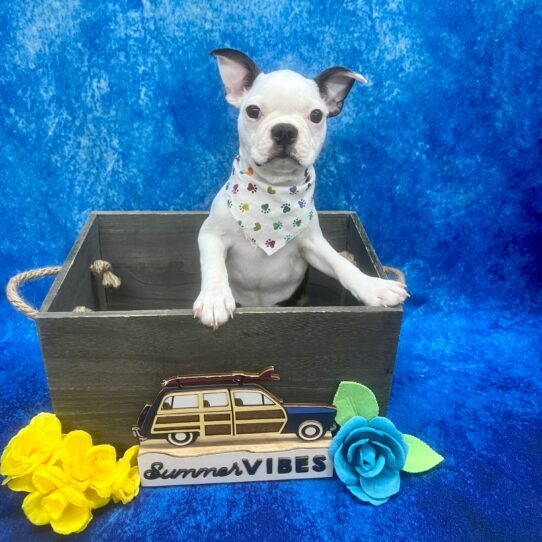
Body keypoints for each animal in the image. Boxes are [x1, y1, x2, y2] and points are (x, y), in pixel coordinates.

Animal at [196, 51, 408, 330]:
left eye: (317, 115)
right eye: (253, 111)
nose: (285, 129)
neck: (273, 193)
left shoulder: (313, 244)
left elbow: (341, 264)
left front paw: (373, 286)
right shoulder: (211, 235)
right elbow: (214, 267)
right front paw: (214, 298)